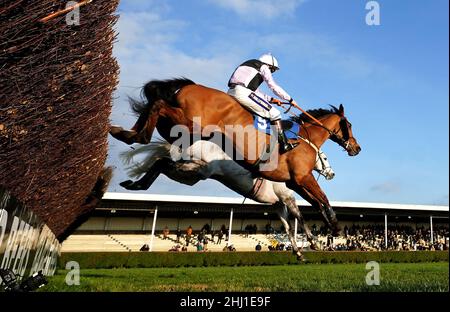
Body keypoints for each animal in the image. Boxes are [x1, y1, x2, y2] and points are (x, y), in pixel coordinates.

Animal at [110, 78, 362, 234]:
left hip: (180, 133)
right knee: (158, 106)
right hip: (189, 127)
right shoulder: (302, 177)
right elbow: (323, 198)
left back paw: (127, 143)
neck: (304, 138)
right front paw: (335, 225)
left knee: (157, 128)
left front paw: (328, 226)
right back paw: (133, 135)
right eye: (349, 125)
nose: (357, 148)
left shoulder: (293, 182)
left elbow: (315, 202)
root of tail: (189, 86)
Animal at [119, 140, 320, 260]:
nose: (326, 171)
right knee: (162, 162)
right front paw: (312, 242)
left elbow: (288, 227)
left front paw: (298, 252)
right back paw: (135, 184)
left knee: (161, 162)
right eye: (322, 157)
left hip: (190, 176)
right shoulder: (286, 197)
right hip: (194, 169)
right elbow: (299, 218)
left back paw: (134, 184)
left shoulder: (278, 204)